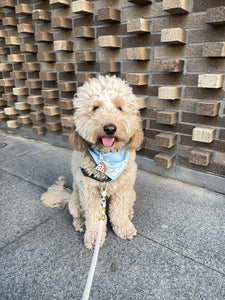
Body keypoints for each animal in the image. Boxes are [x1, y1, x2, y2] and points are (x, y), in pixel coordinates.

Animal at [41, 75, 144, 248]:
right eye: (95, 107)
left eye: (119, 107)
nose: (110, 128)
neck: (106, 160)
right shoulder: (90, 193)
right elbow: (94, 217)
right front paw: (94, 237)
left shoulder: (123, 189)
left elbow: (119, 212)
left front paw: (124, 228)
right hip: (75, 200)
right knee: (78, 215)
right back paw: (80, 224)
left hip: (132, 194)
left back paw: (129, 213)